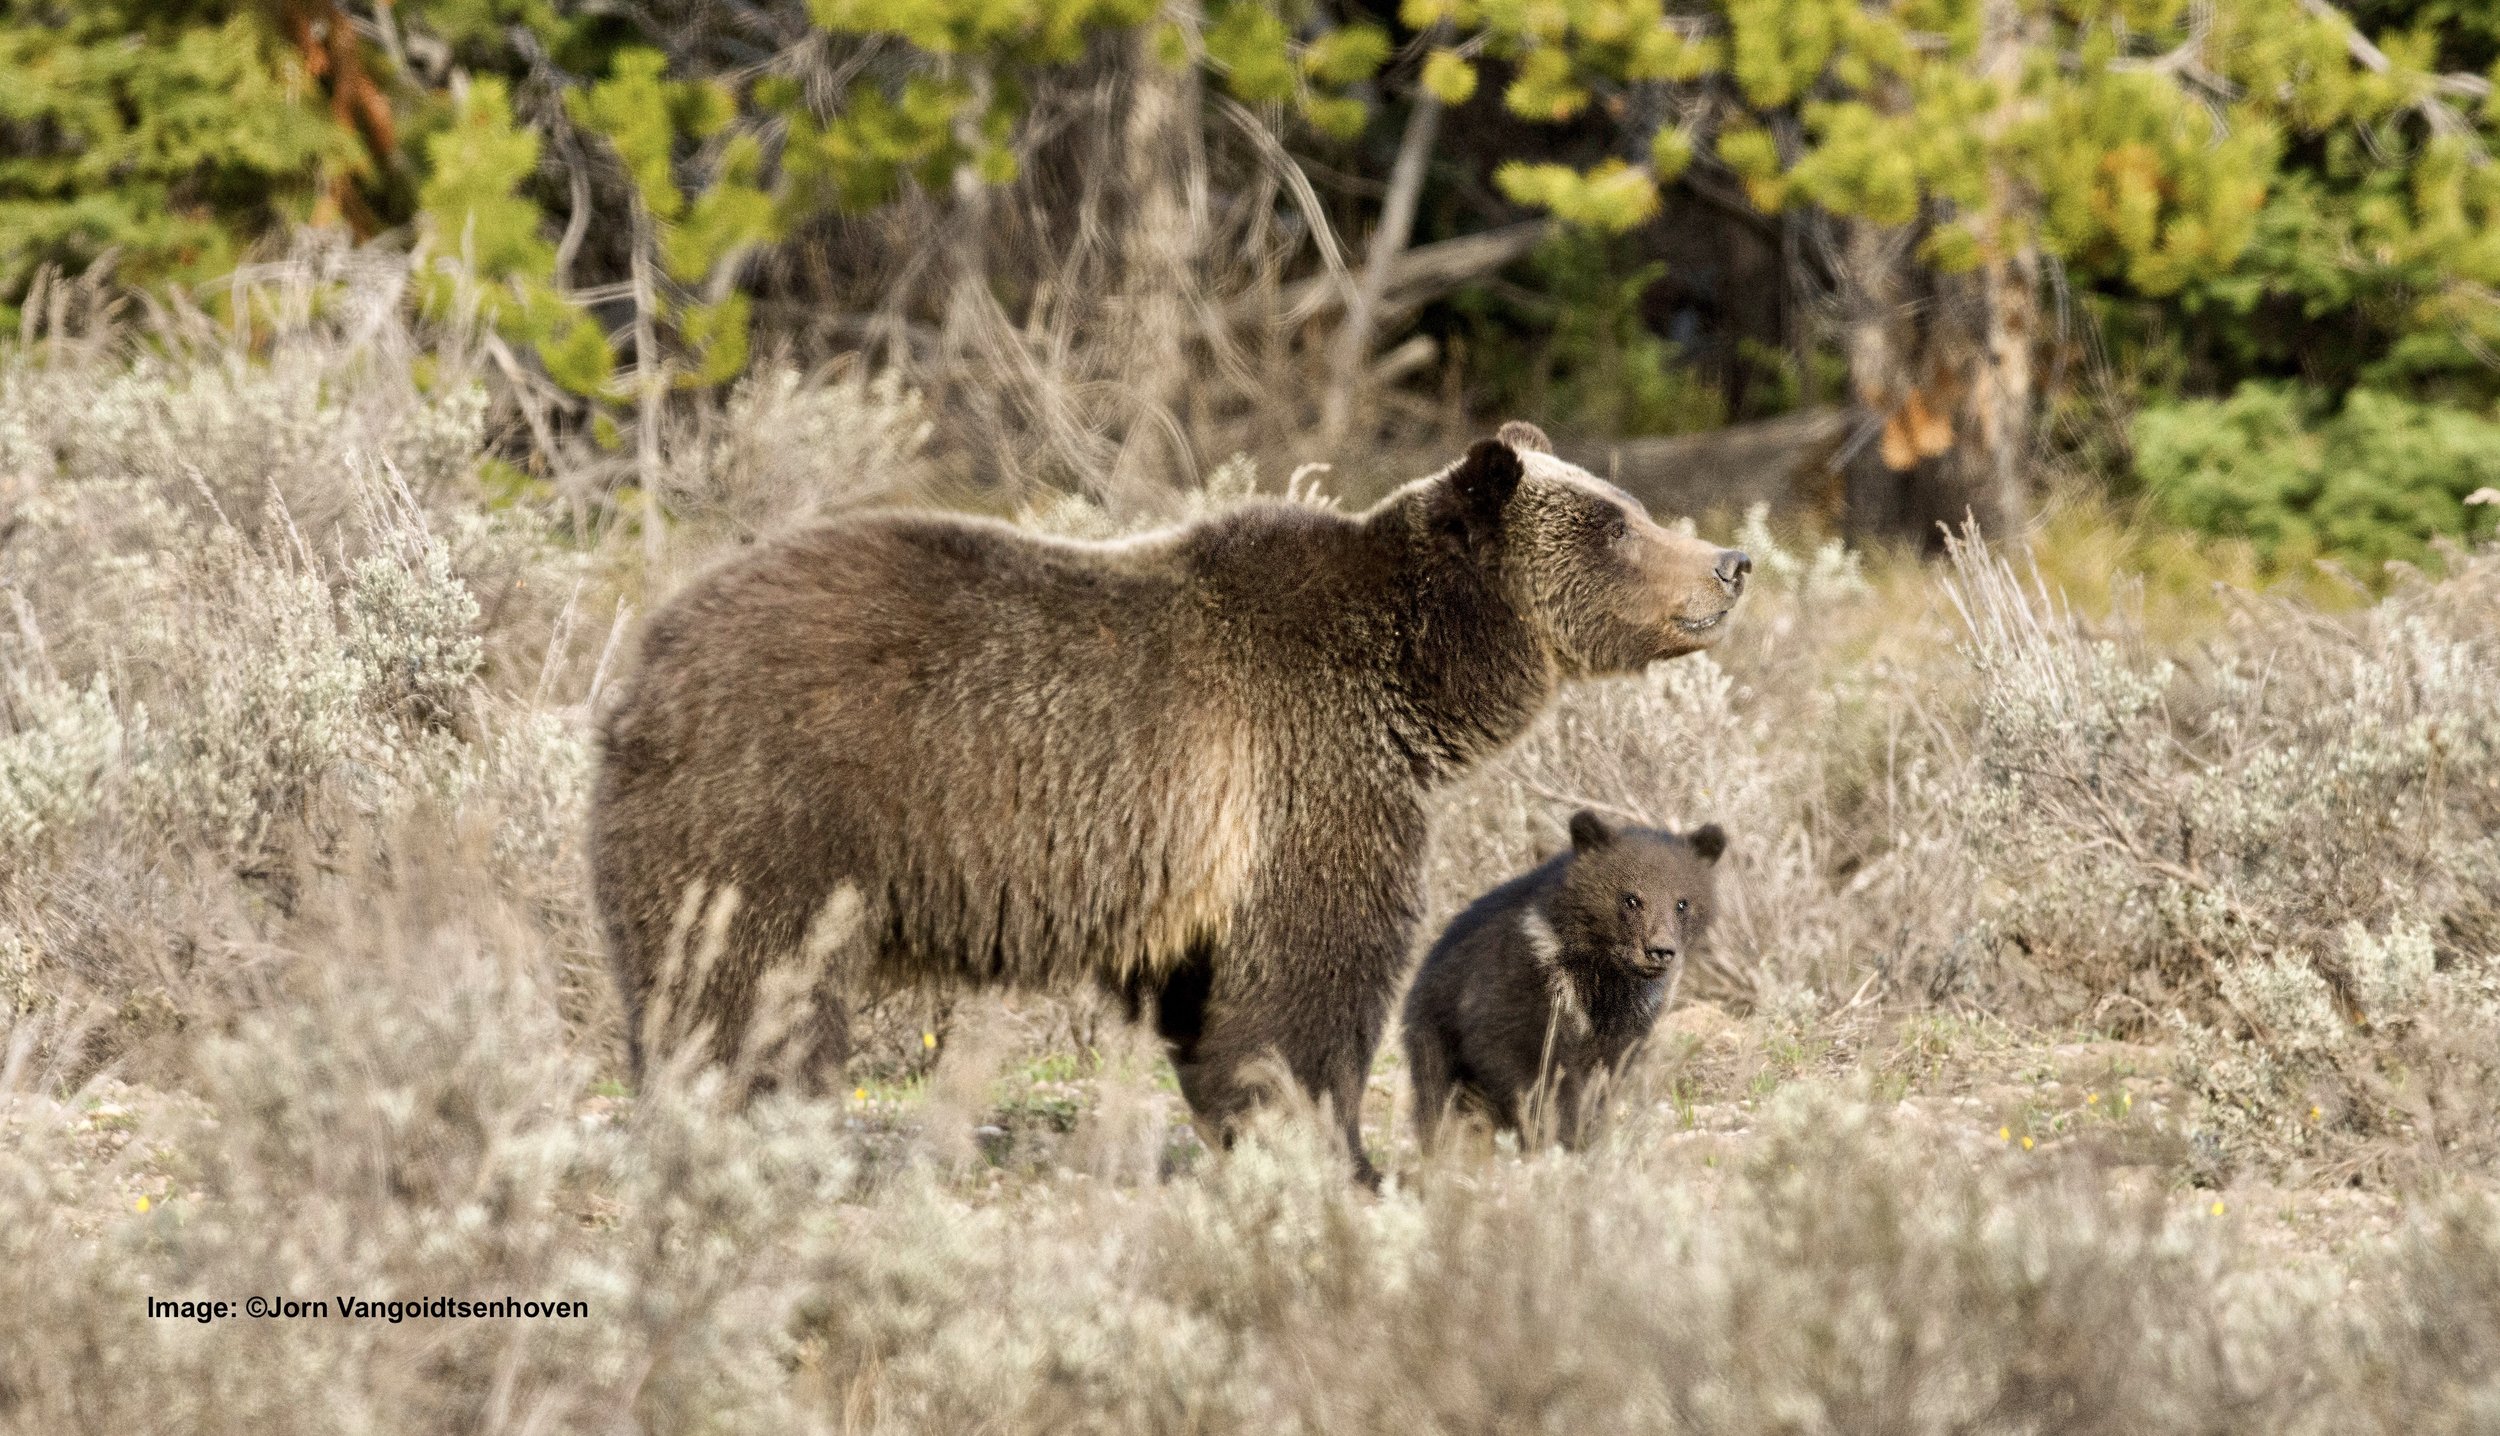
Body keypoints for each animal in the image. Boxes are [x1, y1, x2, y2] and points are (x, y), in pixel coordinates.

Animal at [1403, 811, 1725, 1153]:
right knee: (1439, 1098)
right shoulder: (1520, 982)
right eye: (1630, 899)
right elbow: (1525, 1059)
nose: (1660, 951)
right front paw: (1560, 1129)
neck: (1600, 973)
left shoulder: (1624, 1020)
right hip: (1434, 1034)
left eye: (1682, 903)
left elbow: (1605, 1073)